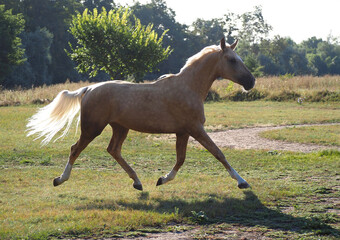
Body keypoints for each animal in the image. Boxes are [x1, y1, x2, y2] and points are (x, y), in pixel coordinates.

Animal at [27, 38, 255, 190]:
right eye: (232, 60)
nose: (251, 81)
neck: (188, 87)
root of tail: (89, 89)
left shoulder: (183, 132)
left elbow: (181, 159)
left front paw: (162, 179)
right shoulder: (195, 129)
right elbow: (218, 153)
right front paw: (242, 182)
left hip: (120, 128)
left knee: (113, 150)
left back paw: (137, 182)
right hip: (92, 129)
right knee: (75, 149)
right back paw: (59, 179)